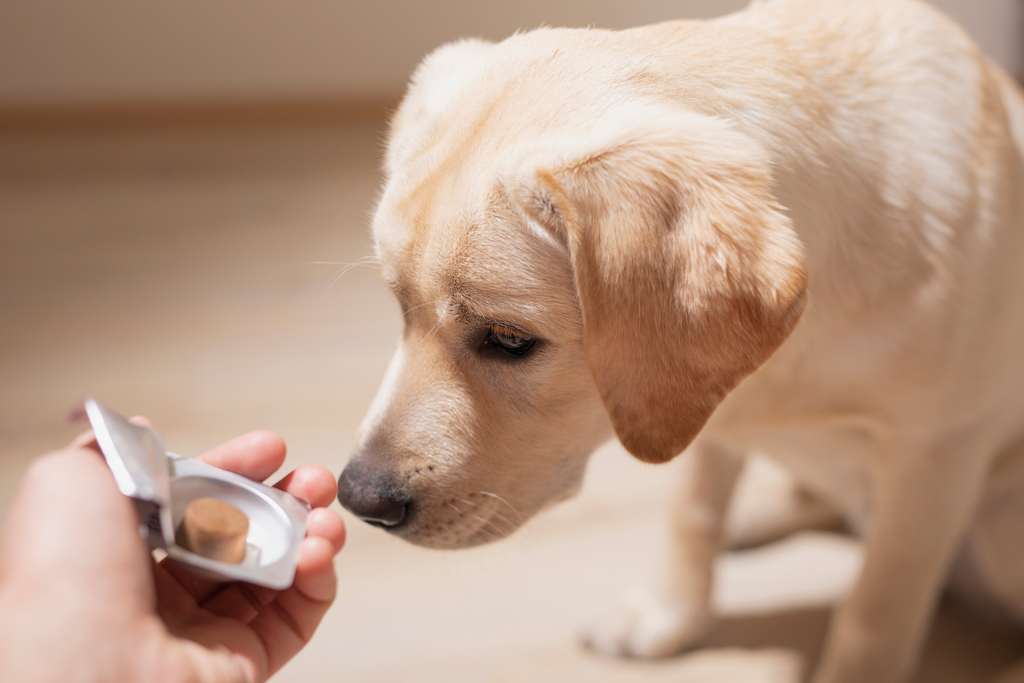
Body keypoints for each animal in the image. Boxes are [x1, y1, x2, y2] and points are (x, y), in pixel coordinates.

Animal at [339, 2, 1024, 679]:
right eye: (400, 307)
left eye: (508, 339)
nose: (357, 500)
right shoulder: (696, 409)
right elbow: (691, 515)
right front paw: (666, 620)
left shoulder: (933, 458)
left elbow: (875, 610)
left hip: (997, 535)